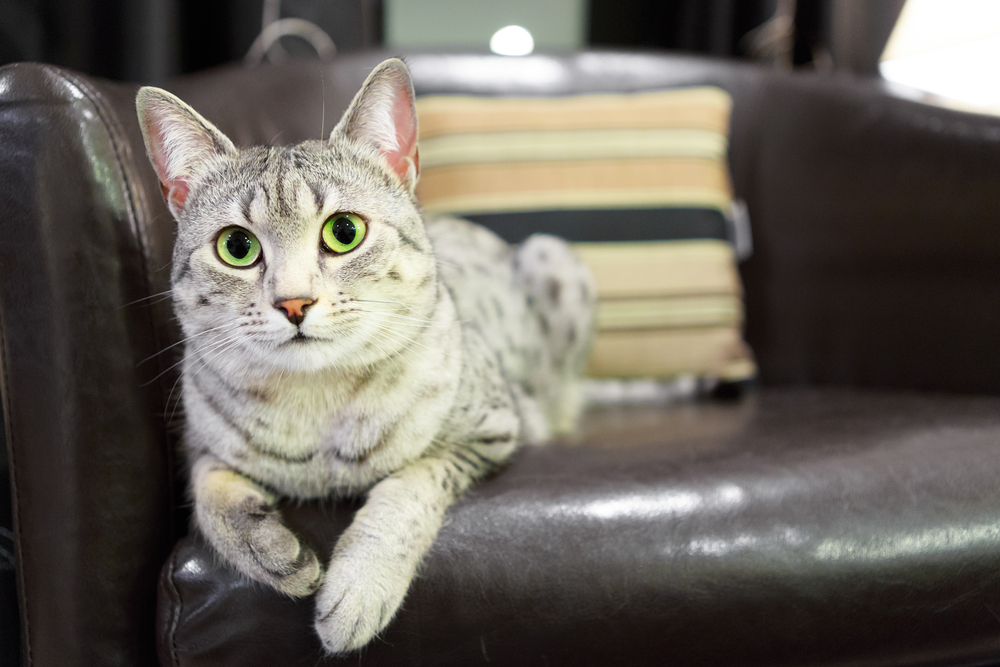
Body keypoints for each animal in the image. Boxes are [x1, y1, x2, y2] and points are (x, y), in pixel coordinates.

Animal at [137, 60, 596, 656]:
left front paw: (358, 588)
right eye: (237, 246)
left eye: (344, 232)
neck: (318, 409)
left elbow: (407, 487)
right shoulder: (197, 442)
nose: (293, 303)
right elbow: (211, 495)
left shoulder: (489, 432)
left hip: (551, 258)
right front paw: (274, 551)